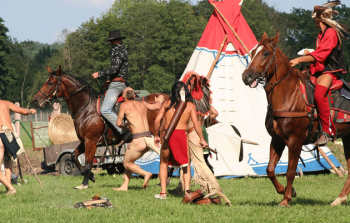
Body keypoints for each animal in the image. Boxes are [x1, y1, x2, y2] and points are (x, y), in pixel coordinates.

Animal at [31, 66, 168, 188]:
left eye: (50, 83)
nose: (35, 100)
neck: (86, 108)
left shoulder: (91, 141)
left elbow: (88, 163)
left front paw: (84, 183)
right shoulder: (85, 141)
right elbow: (74, 156)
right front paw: (91, 176)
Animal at [242, 32, 350, 206]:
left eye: (266, 53)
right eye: (252, 52)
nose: (247, 76)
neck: (288, 94)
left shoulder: (295, 140)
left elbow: (291, 171)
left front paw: (286, 199)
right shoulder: (277, 139)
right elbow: (270, 170)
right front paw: (288, 191)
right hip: (347, 139)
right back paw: (339, 199)